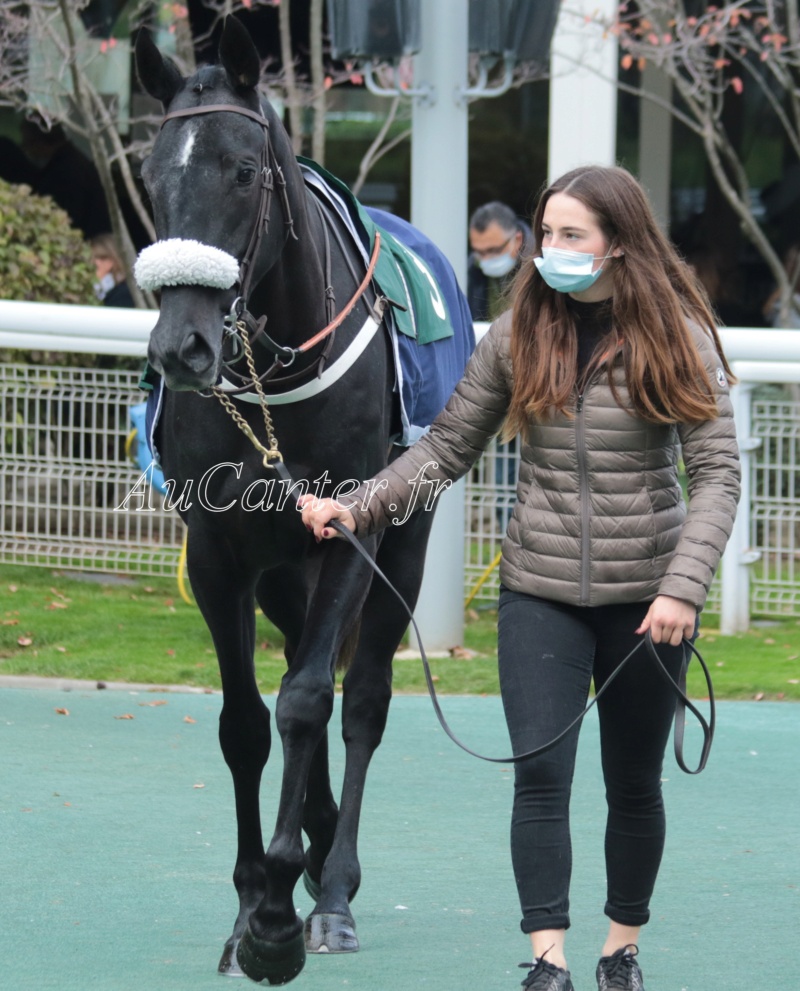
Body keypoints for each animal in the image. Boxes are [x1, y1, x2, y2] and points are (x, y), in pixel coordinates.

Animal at [134, 17, 472, 991]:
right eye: (153, 174)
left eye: (245, 170)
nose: (183, 348)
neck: (275, 371)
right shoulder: (217, 550)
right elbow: (248, 721)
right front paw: (253, 900)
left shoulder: (351, 532)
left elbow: (312, 702)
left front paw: (283, 915)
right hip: (282, 566)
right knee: (294, 666)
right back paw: (317, 845)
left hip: (404, 541)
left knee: (360, 700)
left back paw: (335, 883)